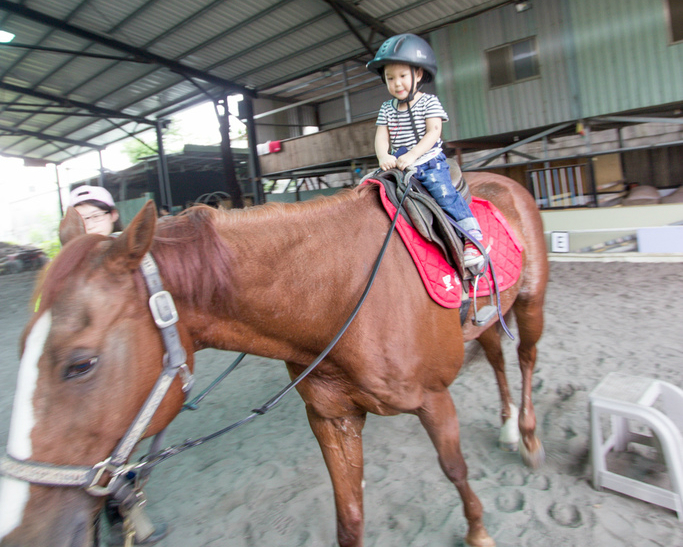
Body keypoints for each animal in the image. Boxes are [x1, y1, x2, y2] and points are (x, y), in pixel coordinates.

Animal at [0, 173, 544, 547]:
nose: (19, 528)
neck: (339, 293)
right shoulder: (332, 418)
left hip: (530, 302)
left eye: (81, 364)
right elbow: (349, 516)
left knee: (524, 358)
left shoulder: (432, 398)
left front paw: (478, 531)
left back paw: (528, 438)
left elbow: (454, 468)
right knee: (497, 358)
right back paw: (506, 427)